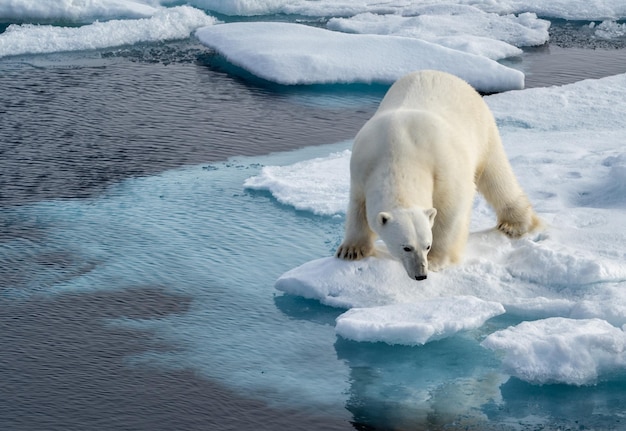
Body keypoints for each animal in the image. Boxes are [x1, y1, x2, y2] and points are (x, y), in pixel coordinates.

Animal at [334, 69, 540, 282]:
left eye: (427, 245)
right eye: (406, 247)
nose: (420, 274)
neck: (398, 153)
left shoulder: (443, 166)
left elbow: (451, 209)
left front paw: (435, 260)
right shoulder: (361, 168)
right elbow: (357, 208)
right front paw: (351, 250)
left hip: (481, 129)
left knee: (496, 176)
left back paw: (514, 224)